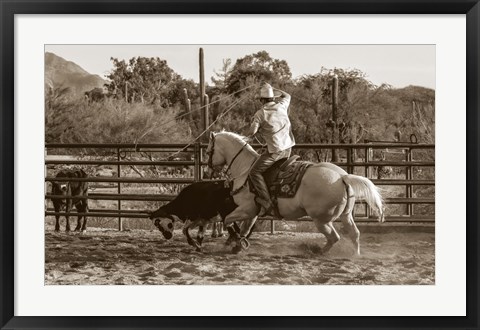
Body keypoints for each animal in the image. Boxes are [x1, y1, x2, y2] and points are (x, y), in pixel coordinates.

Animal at [204, 131, 384, 255]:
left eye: (208, 151)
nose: (207, 171)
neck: (246, 169)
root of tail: (342, 177)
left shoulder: (246, 208)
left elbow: (228, 220)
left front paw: (234, 241)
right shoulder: (253, 211)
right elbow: (245, 229)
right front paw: (238, 245)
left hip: (321, 220)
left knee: (334, 237)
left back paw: (316, 251)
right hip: (346, 216)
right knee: (354, 234)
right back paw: (355, 255)